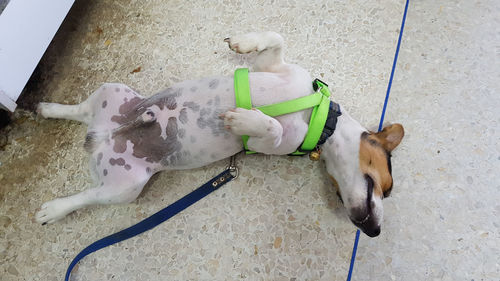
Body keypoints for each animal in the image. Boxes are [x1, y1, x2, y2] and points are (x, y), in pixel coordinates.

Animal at [34, 31, 402, 236]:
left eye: (337, 194)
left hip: (125, 186)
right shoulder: (273, 69)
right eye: (386, 187)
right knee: (80, 112)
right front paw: (243, 42)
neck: (322, 117)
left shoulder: (269, 144)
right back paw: (49, 109)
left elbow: (270, 126)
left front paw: (244, 120)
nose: (374, 231)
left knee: (87, 193)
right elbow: (275, 38)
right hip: (114, 93)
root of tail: (100, 138)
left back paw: (53, 204)